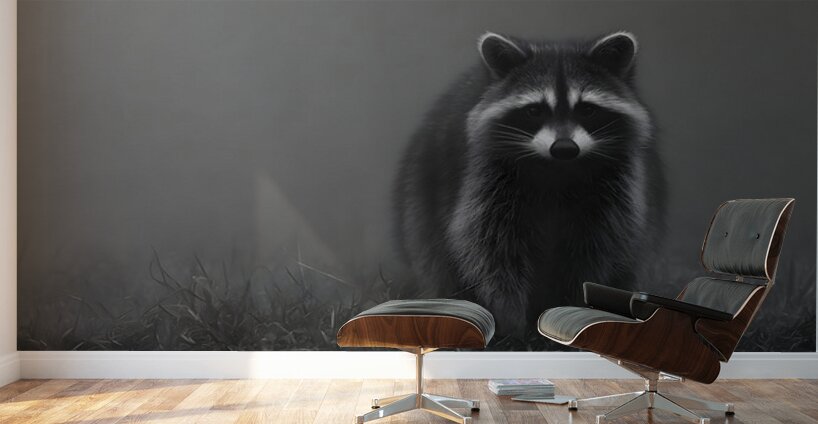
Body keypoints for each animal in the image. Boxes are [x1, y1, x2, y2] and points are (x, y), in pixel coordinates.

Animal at [393, 32, 665, 334]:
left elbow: (594, 248)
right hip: (420, 190)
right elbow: (490, 249)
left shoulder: (615, 187)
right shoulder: (488, 179)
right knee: (432, 251)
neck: (558, 169)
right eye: (535, 110)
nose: (564, 148)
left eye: (587, 110)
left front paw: (566, 305)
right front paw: (510, 319)